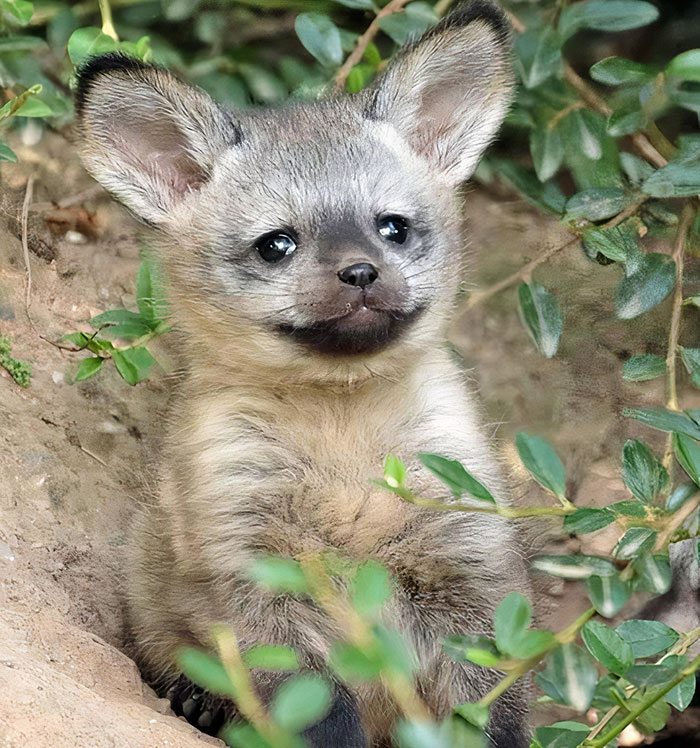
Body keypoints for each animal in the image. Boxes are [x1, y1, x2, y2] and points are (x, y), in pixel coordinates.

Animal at [75, 2, 531, 746]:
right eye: (277, 244)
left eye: (392, 228)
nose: (361, 272)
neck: (341, 442)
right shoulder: (252, 575)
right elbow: (316, 713)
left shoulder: (465, 561)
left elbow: (490, 710)